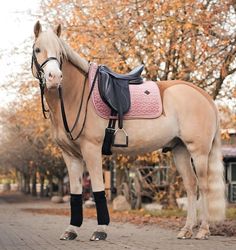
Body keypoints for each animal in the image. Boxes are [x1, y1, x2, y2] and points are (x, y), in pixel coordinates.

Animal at [30, 22, 225, 242]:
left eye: (60, 53)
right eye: (37, 49)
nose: (54, 78)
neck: (77, 94)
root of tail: (204, 96)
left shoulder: (91, 150)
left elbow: (98, 188)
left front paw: (100, 230)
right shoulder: (70, 155)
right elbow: (76, 192)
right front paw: (71, 230)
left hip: (198, 152)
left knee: (204, 187)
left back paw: (203, 230)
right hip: (180, 150)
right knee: (191, 186)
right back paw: (187, 229)